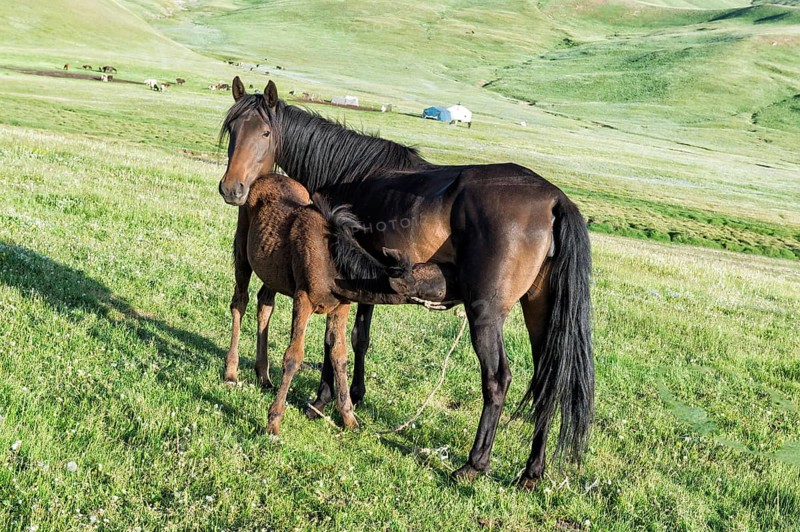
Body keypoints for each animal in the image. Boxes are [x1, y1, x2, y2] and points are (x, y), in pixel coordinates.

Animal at [226, 173, 457, 434]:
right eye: (442, 284)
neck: (335, 268)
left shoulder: (341, 306)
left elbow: (339, 355)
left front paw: (349, 418)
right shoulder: (303, 298)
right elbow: (293, 356)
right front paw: (273, 421)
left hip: (272, 272)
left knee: (265, 304)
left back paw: (263, 376)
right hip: (242, 252)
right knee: (240, 302)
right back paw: (231, 372)